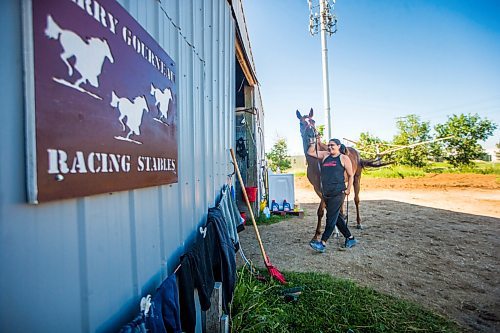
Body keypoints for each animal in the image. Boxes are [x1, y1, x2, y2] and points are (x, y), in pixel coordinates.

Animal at [296, 107, 390, 240]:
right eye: (301, 123)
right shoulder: (317, 188)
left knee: (356, 200)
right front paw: (325, 232)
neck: (316, 160)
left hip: (356, 179)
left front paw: (320, 234)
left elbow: (322, 210)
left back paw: (359, 223)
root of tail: (356, 152)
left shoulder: (324, 188)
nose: (312, 136)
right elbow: (327, 208)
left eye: (313, 121)